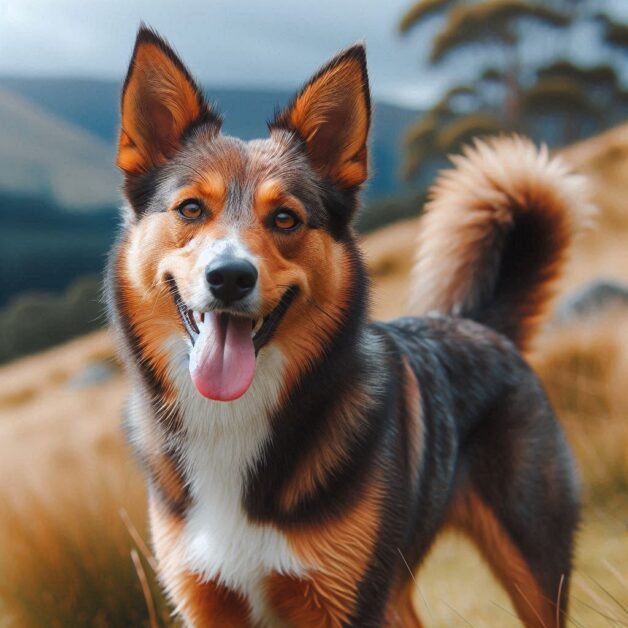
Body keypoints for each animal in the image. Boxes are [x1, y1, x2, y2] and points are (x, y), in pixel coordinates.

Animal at [109, 25, 588, 628]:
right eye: (191, 209)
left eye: (285, 218)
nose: (230, 277)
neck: (234, 420)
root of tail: (477, 324)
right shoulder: (209, 601)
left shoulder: (345, 600)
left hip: (531, 561)